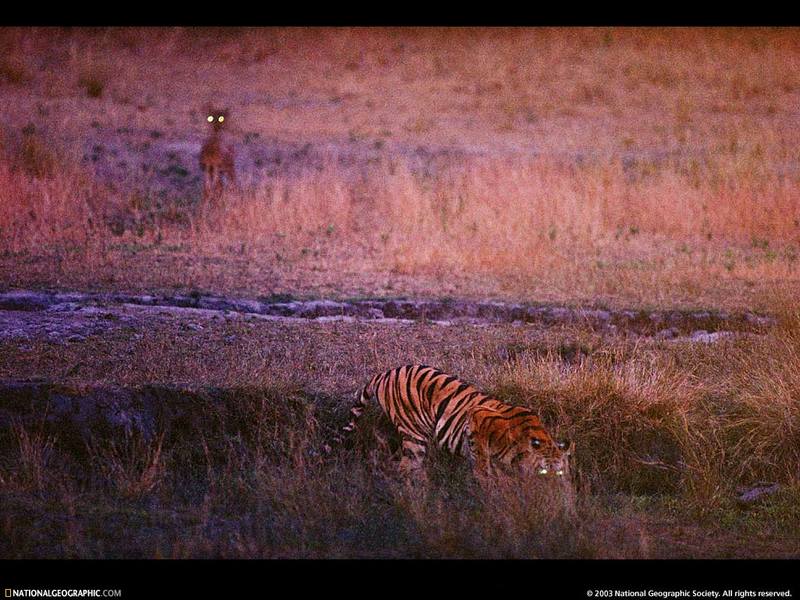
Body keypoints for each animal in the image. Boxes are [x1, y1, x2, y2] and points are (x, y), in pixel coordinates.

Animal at [340, 364, 572, 480]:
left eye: (560, 472)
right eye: (544, 471)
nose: (551, 487)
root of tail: (384, 374)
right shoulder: (477, 417)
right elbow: (481, 462)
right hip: (414, 436)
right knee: (406, 467)